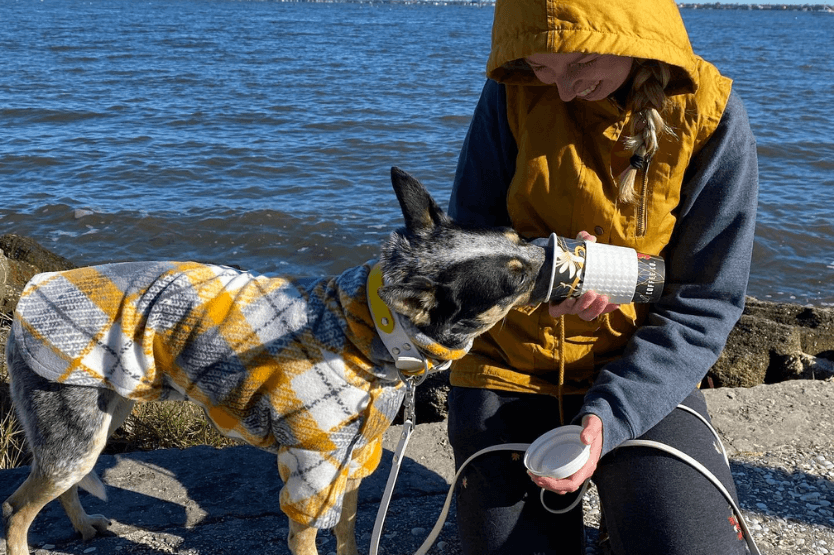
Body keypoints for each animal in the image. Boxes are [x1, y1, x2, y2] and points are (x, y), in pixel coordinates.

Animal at [4, 168, 544, 555]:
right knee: (17, 509)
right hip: (77, 434)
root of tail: (31, 289)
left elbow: (347, 535)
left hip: (101, 418)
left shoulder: (351, 465)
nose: (551, 245)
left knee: (59, 488)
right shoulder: (311, 474)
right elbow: (308, 539)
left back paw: (83, 526)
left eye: (515, 235)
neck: (374, 333)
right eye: (515, 278)